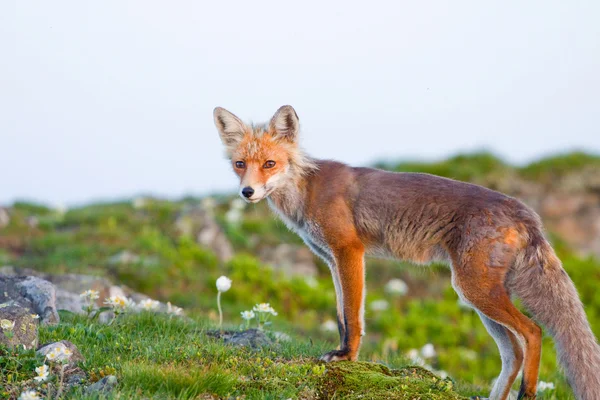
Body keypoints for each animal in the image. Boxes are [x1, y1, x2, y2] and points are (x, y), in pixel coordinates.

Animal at [213, 104, 600, 398]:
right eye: (240, 164)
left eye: (270, 164)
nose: (247, 192)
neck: (307, 191)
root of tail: (526, 212)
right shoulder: (331, 260)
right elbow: (340, 316)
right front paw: (341, 352)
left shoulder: (349, 252)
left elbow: (353, 317)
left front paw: (348, 358)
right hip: (479, 296)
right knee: (514, 352)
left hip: (475, 290)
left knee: (533, 333)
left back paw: (527, 392)